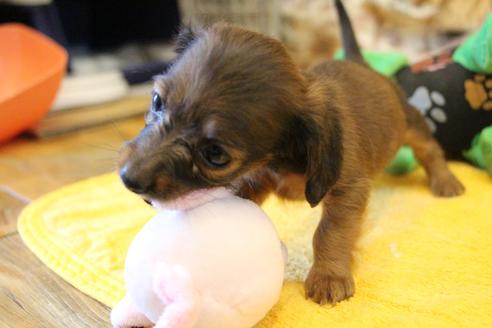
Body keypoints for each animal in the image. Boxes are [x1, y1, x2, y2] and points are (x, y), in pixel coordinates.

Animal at [118, 0, 462, 304]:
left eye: (215, 154)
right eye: (156, 101)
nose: (128, 179)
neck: (282, 155)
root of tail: (359, 62)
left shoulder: (348, 188)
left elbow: (329, 231)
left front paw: (329, 277)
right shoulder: (255, 179)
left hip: (411, 123)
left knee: (430, 149)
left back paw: (446, 183)